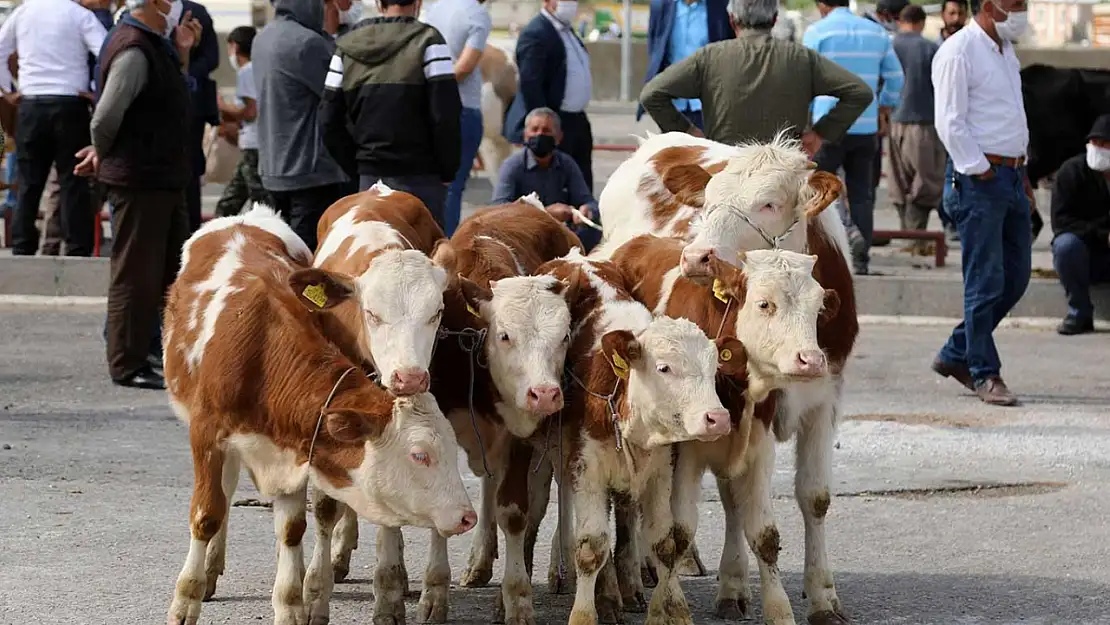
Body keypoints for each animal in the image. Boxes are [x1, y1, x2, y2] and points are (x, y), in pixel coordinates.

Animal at [162, 207, 470, 625]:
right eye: (419, 455)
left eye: (437, 313)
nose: (468, 516)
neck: (261, 352)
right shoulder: (207, 434)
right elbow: (206, 514)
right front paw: (185, 600)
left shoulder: (293, 447)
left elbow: (293, 528)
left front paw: (291, 604)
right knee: (223, 491)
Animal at [321, 203, 586, 621]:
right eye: (505, 335)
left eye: (564, 337)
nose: (544, 395)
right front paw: (429, 595)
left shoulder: (519, 434)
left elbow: (514, 510)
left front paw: (516, 597)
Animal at [537, 251, 745, 625]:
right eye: (664, 367)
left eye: (714, 369)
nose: (717, 418)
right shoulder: (586, 470)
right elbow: (591, 547)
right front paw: (584, 613)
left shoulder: (661, 469)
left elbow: (664, 543)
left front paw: (672, 610)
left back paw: (625, 588)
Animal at [594, 129, 852, 621]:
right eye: (708, 203)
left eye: (769, 203)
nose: (697, 257)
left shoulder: (822, 400)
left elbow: (812, 498)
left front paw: (822, 595)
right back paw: (636, 576)